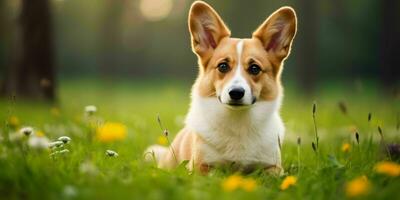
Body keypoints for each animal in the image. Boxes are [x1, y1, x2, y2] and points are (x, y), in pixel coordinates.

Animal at [145, 1, 296, 173]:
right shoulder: (200, 166)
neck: (238, 122)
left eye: (254, 68)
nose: (236, 93)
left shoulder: (272, 166)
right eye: (223, 66)